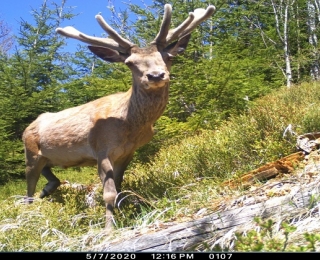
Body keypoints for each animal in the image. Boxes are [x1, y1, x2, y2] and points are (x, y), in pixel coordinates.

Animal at [23, 3, 215, 228]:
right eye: (130, 63)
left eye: (169, 57)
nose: (156, 75)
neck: (130, 126)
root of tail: (28, 127)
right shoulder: (101, 149)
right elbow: (108, 193)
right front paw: (109, 228)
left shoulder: (127, 152)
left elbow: (120, 188)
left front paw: (123, 215)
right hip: (31, 152)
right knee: (28, 189)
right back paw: (28, 212)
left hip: (47, 156)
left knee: (49, 173)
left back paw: (47, 190)